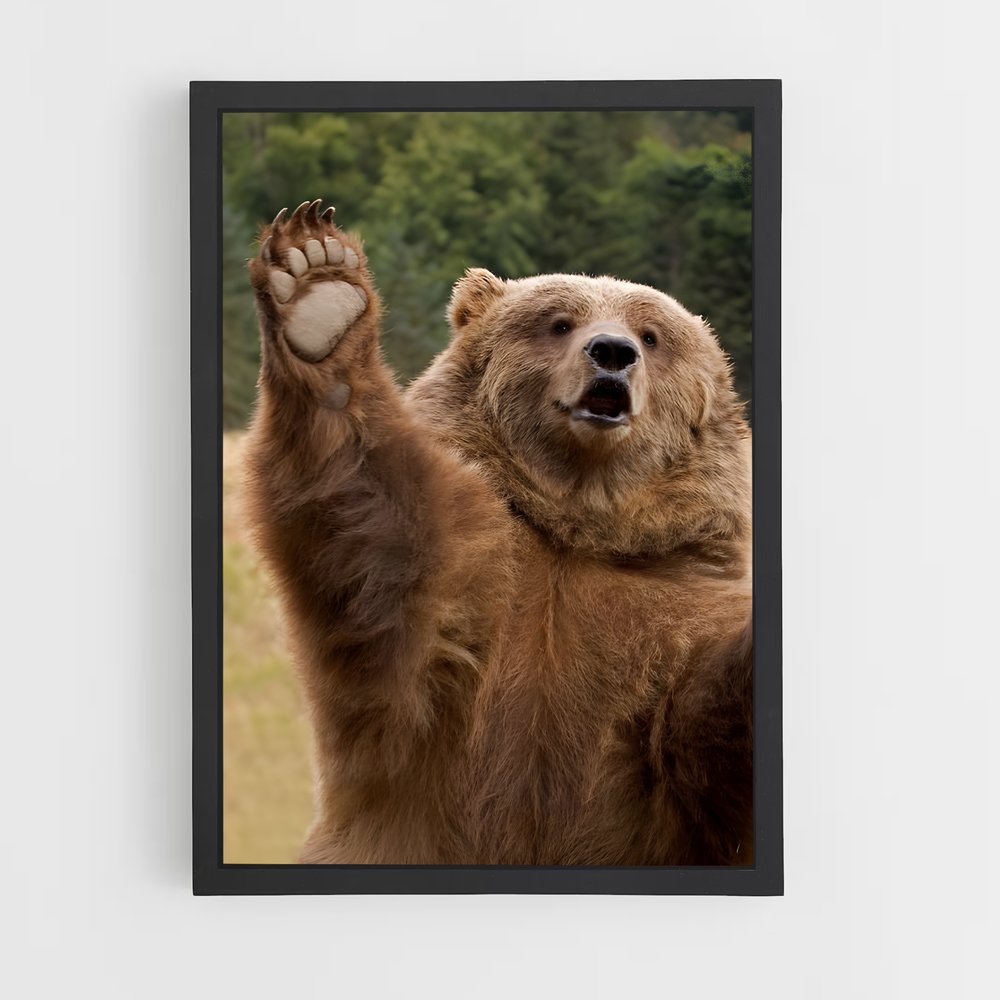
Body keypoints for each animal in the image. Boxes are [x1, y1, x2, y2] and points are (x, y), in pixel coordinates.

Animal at [242, 198, 753, 866]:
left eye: (652, 335)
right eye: (559, 322)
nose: (612, 352)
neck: (575, 526)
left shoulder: (671, 600)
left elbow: (700, 726)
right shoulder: (465, 586)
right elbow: (373, 528)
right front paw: (318, 288)